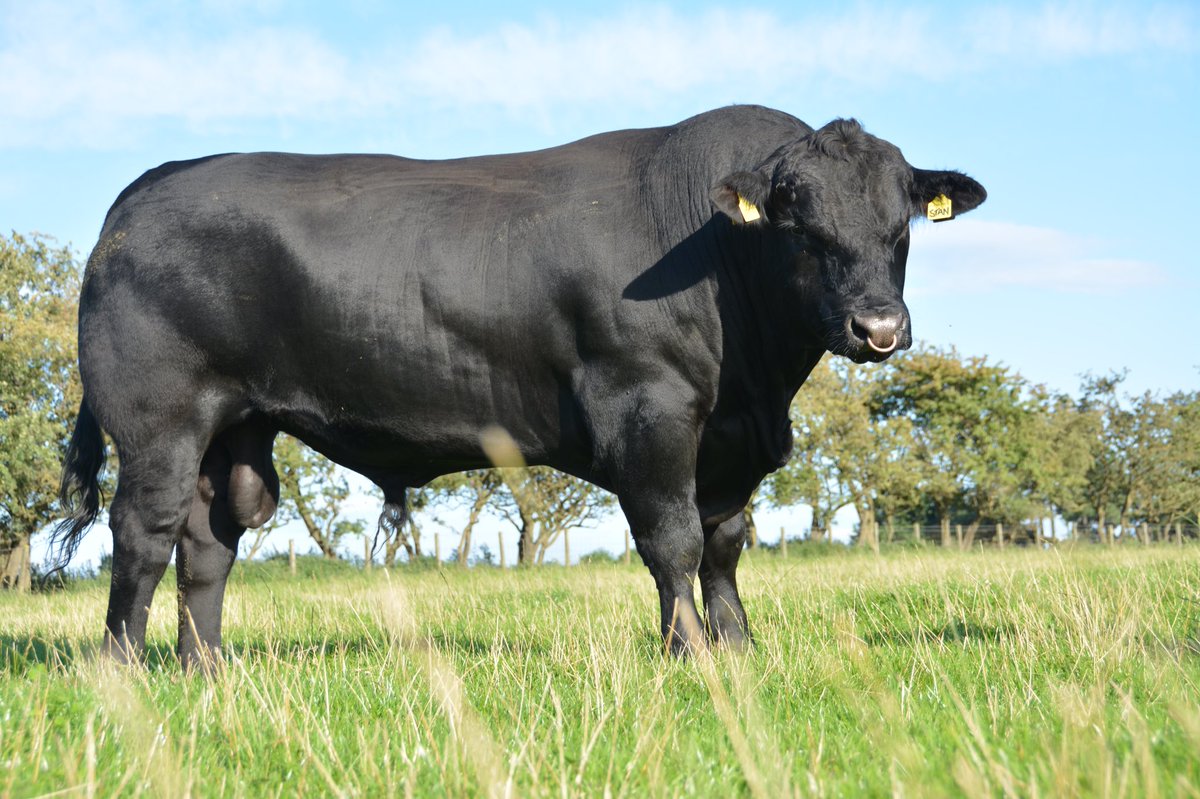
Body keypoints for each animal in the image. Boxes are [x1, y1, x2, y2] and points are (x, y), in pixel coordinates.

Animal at [53, 105, 985, 667]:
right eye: (800, 223)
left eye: (900, 227)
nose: (878, 327)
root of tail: (145, 191)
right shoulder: (650, 410)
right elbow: (674, 542)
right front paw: (687, 654)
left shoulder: (729, 441)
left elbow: (724, 546)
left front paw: (739, 649)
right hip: (160, 421)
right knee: (142, 535)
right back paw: (123, 671)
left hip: (234, 425)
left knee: (208, 542)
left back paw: (206, 670)